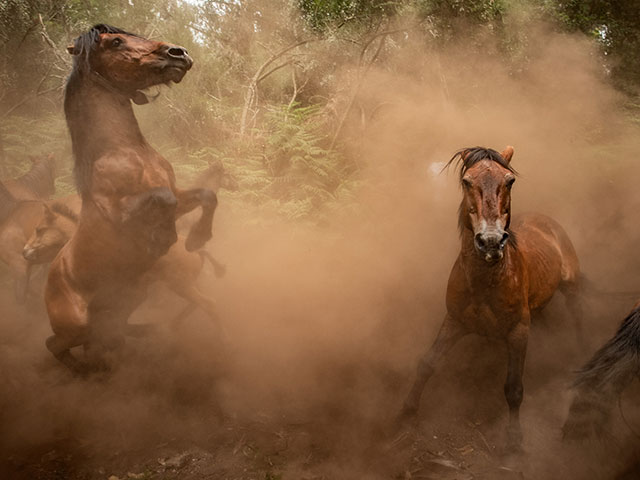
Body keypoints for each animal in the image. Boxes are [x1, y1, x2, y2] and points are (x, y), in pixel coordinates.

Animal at [44, 24, 218, 374]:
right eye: (115, 42)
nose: (179, 53)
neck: (126, 151)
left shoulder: (180, 196)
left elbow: (206, 195)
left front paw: (196, 238)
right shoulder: (122, 213)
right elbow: (162, 199)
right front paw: (164, 240)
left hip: (122, 305)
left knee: (104, 339)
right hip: (77, 325)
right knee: (54, 345)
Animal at [400, 146, 584, 454]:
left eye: (509, 181)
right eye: (466, 181)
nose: (490, 241)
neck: (485, 281)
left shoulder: (518, 332)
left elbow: (514, 388)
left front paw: (514, 442)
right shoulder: (454, 321)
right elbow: (428, 363)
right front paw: (405, 413)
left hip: (571, 289)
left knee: (578, 318)